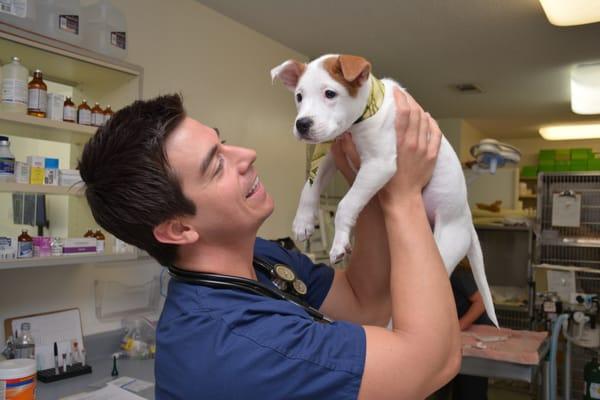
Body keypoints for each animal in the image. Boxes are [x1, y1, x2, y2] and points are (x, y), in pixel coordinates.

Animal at [272, 54, 496, 324]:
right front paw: (303, 221)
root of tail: (466, 218)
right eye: (299, 96)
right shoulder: (331, 156)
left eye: (330, 93)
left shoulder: (379, 164)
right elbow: (309, 188)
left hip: (445, 247)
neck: (363, 116)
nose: (302, 124)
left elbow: (346, 204)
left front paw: (339, 243)